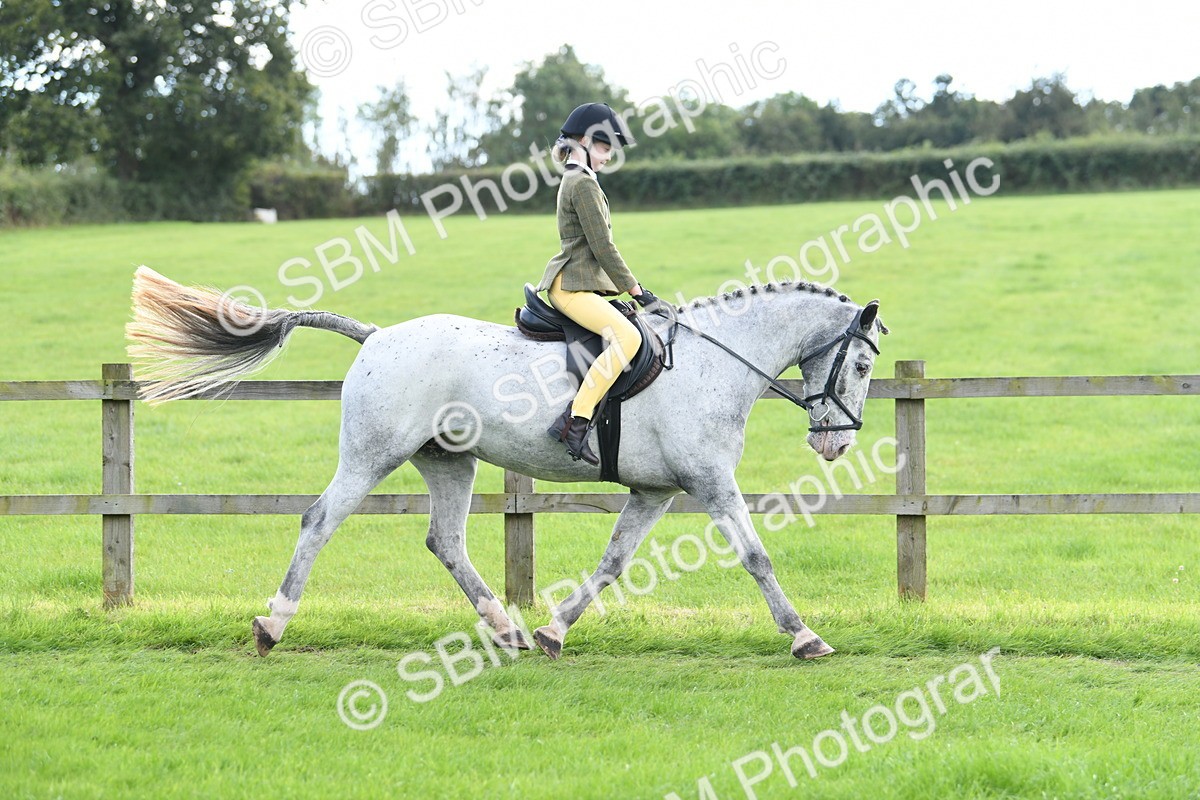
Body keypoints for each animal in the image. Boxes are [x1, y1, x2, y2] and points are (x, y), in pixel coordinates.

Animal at [126, 267, 886, 660]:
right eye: (862, 364)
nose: (837, 443)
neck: (713, 359)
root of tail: (377, 336)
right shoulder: (710, 484)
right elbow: (757, 556)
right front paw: (806, 636)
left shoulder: (655, 492)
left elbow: (611, 564)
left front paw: (553, 631)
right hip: (373, 455)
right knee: (319, 521)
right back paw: (272, 625)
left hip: (447, 464)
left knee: (446, 541)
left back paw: (508, 628)